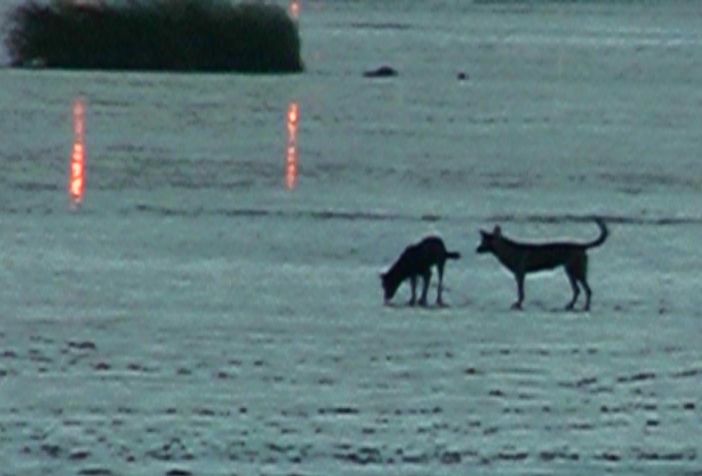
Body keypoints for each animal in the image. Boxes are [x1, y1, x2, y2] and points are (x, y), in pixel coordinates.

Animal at [478, 218, 612, 310]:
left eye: (485, 242)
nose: (476, 249)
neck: (508, 250)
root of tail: (582, 246)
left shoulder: (520, 273)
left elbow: (521, 292)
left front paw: (518, 304)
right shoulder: (520, 274)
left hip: (577, 271)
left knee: (587, 290)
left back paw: (584, 307)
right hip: (570, 271)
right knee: (578, 290)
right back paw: (570, 305)